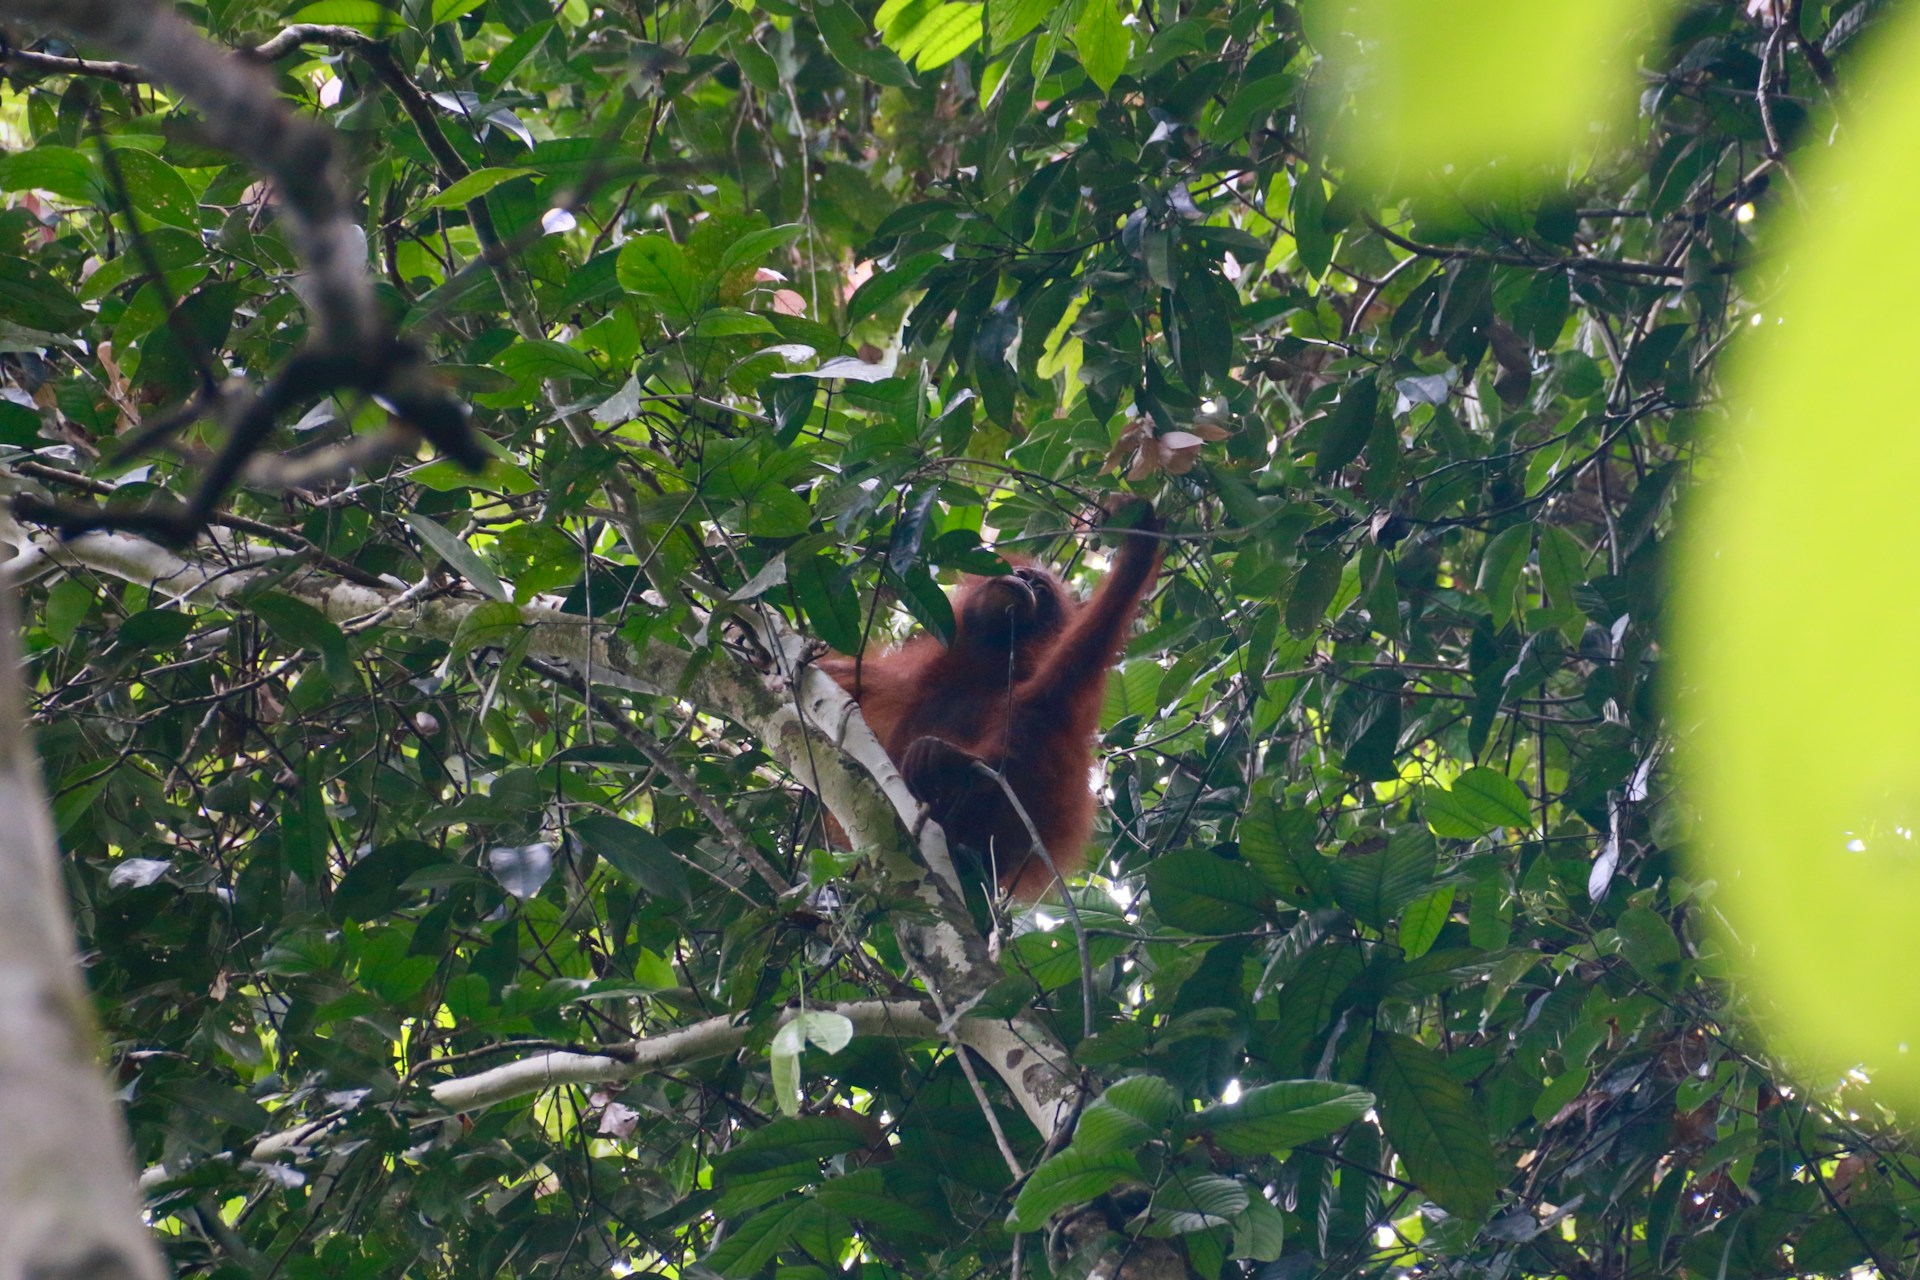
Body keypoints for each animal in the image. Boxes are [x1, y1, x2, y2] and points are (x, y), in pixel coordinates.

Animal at [818, 503, 1162, 900]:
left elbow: (1062, 680)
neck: (981, 663)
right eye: (1021, 574)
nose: (1022, 580)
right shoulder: (894, 681)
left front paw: (1138, 549)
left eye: (1040, 590)